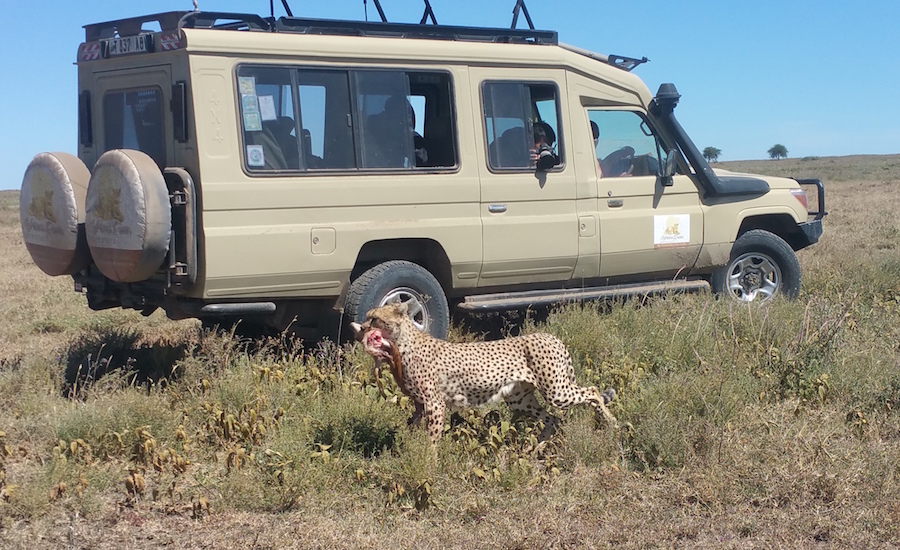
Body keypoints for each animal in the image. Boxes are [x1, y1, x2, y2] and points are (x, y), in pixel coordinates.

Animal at [352, 302, 620, 444]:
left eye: (374, 319)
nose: (361, 329)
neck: (403, 343)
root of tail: (550, 336)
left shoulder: (435, 403)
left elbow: (432, 440)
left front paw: (428, 463)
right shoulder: (421, 404)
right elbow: (410, 425)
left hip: (556, 391)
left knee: (592, 392)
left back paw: (611, 423)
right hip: (520, 400)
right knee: (552, 418)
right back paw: (537, 448)